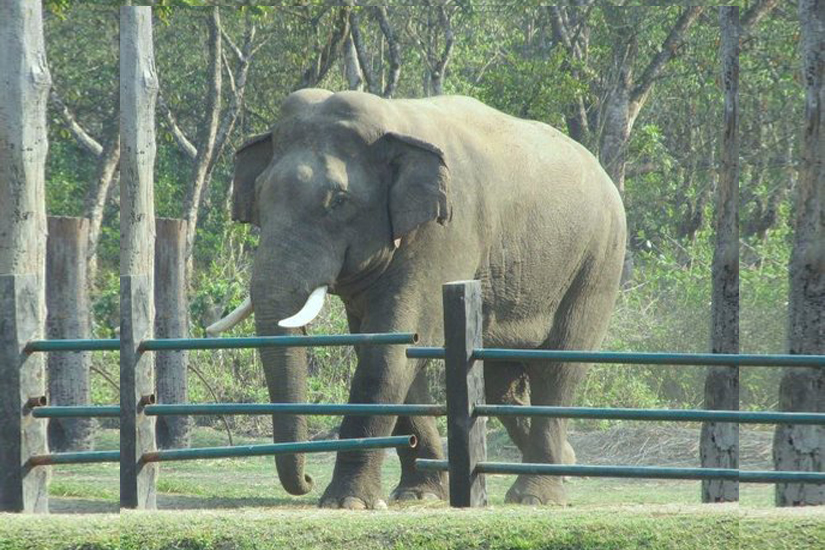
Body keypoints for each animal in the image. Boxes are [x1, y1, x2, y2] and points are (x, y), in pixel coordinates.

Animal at [208, 89, 624, 508]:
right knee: (502, 380)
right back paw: (566, 464)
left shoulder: (446, 233)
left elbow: (390, 348)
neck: (393, 120)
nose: (307, 478)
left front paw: (348, 503)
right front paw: (418, 494)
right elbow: (395, 345)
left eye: (339, 201)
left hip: (598, 262)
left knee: (558, 367)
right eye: (260, 196)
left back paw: (536, 496)